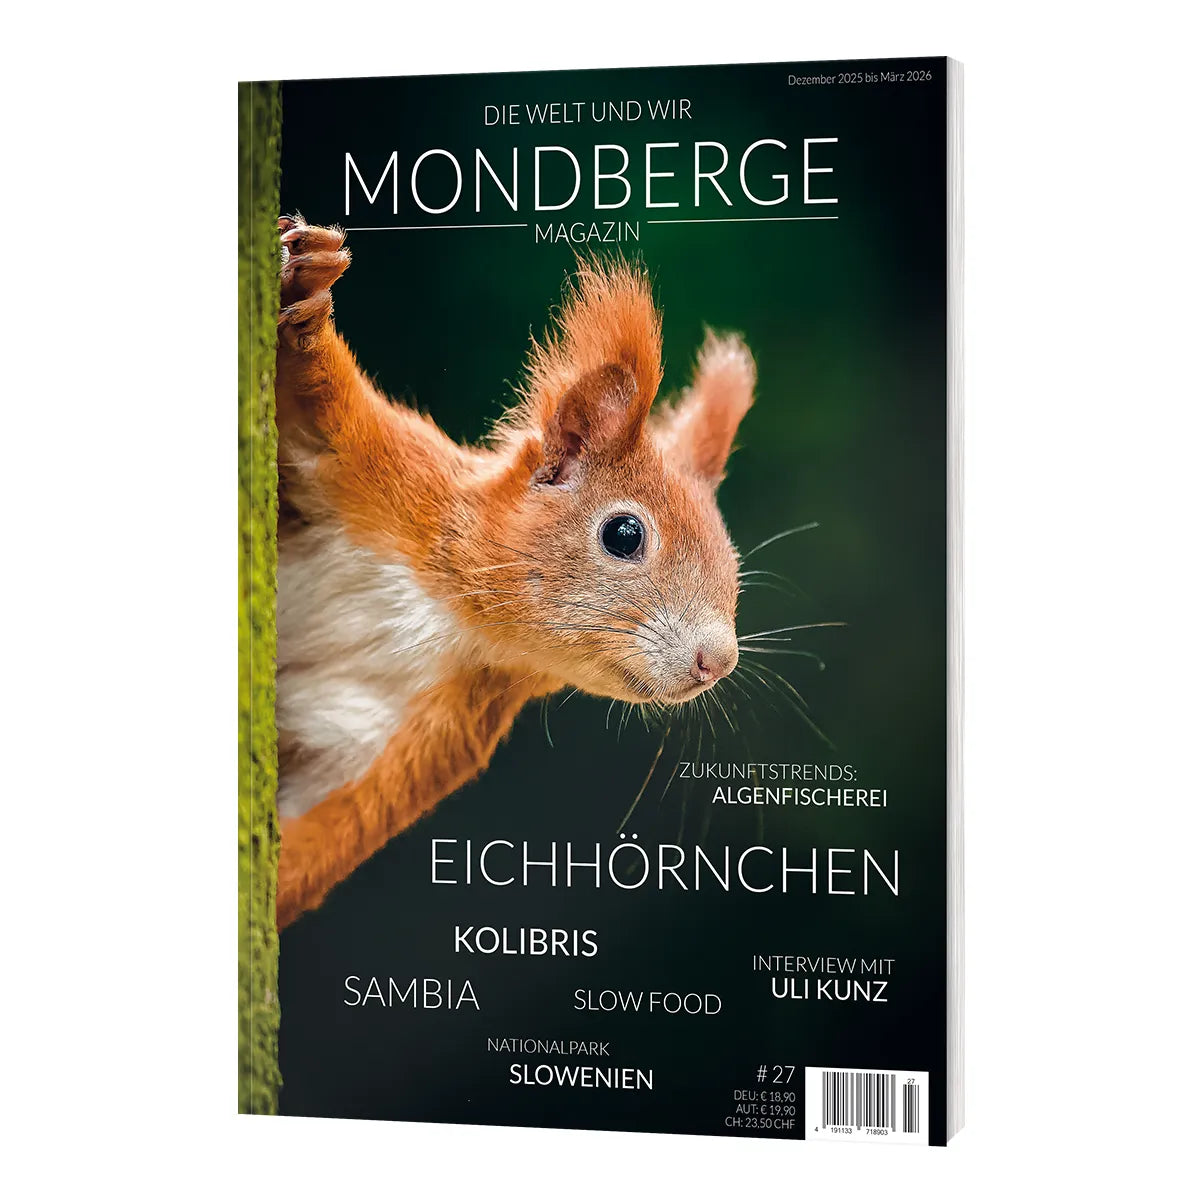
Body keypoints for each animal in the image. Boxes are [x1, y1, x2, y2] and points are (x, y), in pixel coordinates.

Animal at [273, 216, 756, 928]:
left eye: (733, 560)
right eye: (625, 535)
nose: (717, 662)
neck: (450, 614)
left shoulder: (425, 733)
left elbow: (322, 831)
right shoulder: (381, 473)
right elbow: (319, 403)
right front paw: (307, 294)